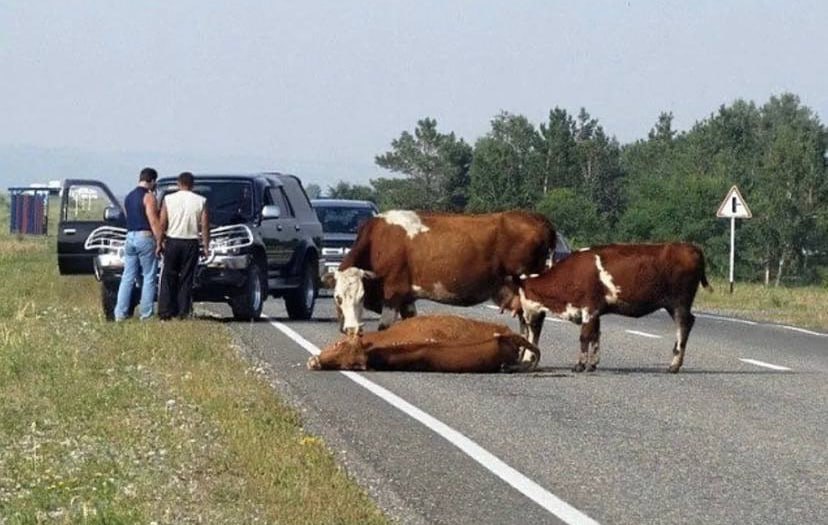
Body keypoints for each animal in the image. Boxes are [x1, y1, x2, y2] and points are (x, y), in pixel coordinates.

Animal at [320, 208, 552, 334]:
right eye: (338, 297)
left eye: (362, 295)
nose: (352, 329)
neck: (377, 241)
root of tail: (538, 219)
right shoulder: (407, 297)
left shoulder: (393, 292)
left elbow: (384, 326)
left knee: (534, 320)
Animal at [502, 243, 716, 372]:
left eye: (521, 298)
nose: (522, 318)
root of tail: (690, 247)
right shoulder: (596, 311)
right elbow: (596, 336)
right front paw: (593, 364)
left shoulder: (589, 308)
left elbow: (584, 337)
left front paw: (580, 365)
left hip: (679, 302)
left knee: (684, 326)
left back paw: (674, 365)